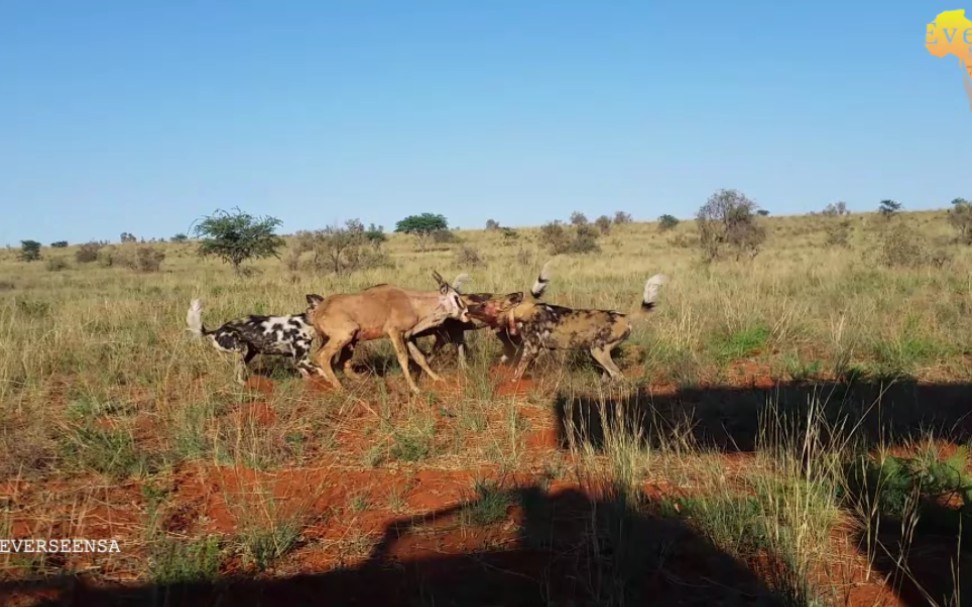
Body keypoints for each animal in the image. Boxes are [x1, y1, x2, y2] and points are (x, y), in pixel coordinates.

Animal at [186, 294, 326, 384]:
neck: (306, 324)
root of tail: (217, 330)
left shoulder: (298, 360)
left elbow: (307, 374)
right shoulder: (302, 359)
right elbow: (321, 369)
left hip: (248, 353)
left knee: (238, 371)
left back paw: (243, 384)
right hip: (241, 348)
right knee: (237, 372)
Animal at [504, 274, 664, 382]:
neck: (526, 309)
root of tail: (623, 316)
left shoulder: (531, 349)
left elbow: (519, 369)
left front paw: (513, 382)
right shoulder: (548, 349)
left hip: (598, 351)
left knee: (617, 375)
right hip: (600, 352)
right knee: (609, 374)